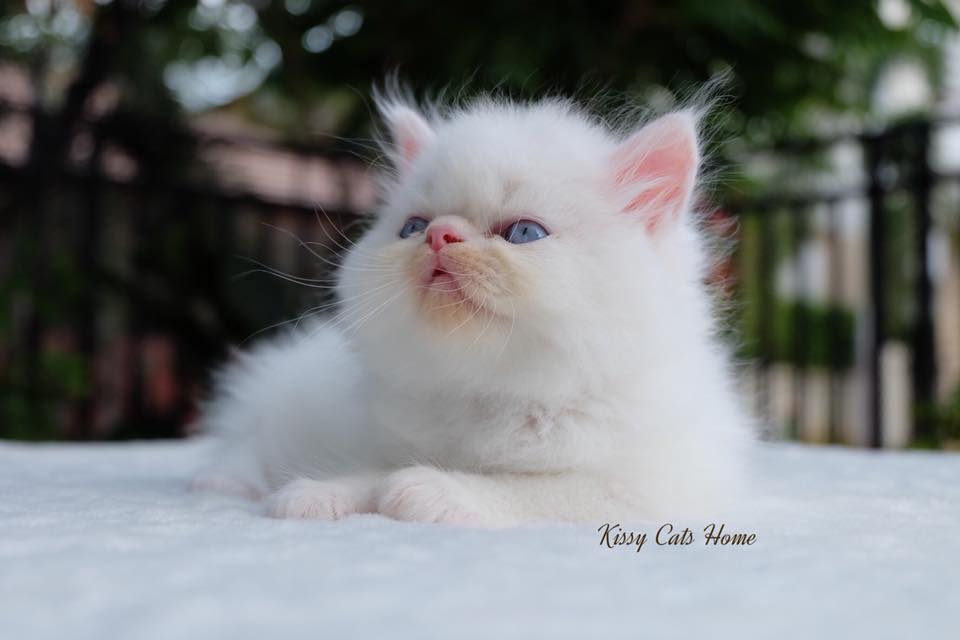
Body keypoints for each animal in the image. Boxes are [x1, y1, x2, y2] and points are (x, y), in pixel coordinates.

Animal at [192, 90, 754, 527]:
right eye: (414, 227)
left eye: (523, 232)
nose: (441, 235)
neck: (499, 392)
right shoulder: (379, 439)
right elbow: (369, 471)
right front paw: (319, 493)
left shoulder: (650, 489)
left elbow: (538, 489)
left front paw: (431, 490)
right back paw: (228, 482)